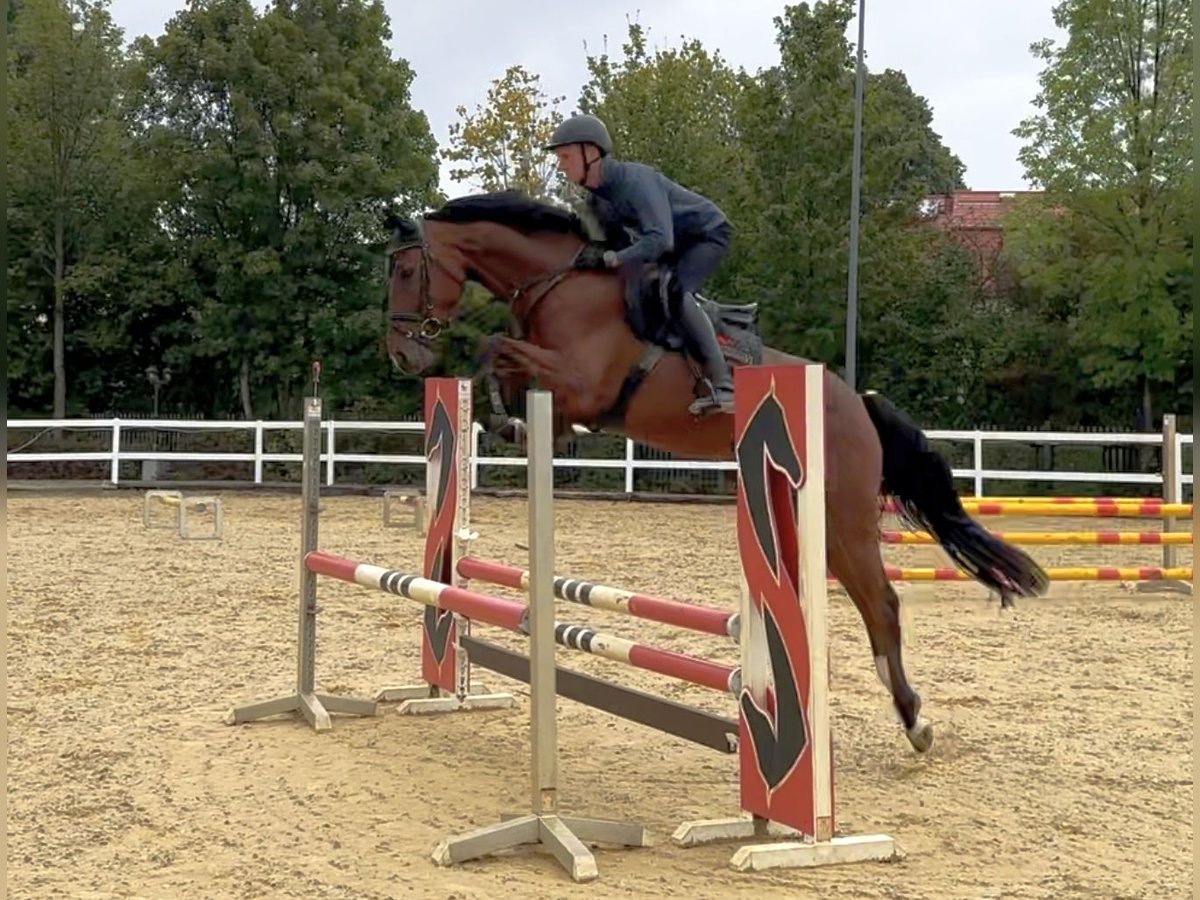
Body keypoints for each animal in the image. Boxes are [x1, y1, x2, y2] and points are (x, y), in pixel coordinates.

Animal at [386, 194, 1051, 758]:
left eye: (406, 270)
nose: (402, 354)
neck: (559, 284)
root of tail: (858, 404)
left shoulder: (581, 383)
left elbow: (495, 344)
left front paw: (504, 417)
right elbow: (506, 360)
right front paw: (508, 421)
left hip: (842, 517)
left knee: (881, 602)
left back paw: (914, 722)